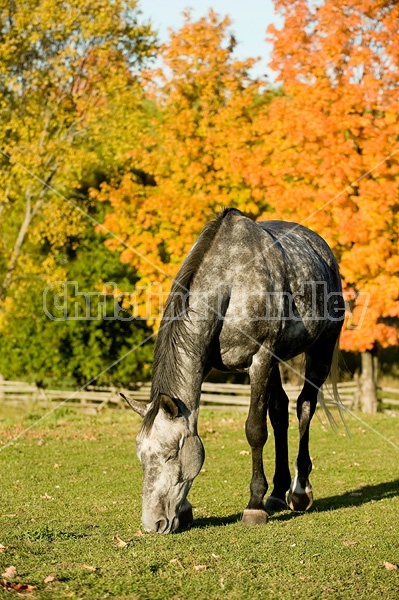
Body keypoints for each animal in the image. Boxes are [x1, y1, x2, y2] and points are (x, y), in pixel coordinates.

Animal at [123, 209, 346, 532]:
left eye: (171, 453)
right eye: (141, 455)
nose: (154, 524)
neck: (232, 281)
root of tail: (322, 250)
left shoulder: (260, 359)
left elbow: (255, 430)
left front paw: (254, 505)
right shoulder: (210, 362)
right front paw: (186, 509)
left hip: (320, 350)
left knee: (305, 406)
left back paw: (298, 491)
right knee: (280, 412)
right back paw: (277, 493)